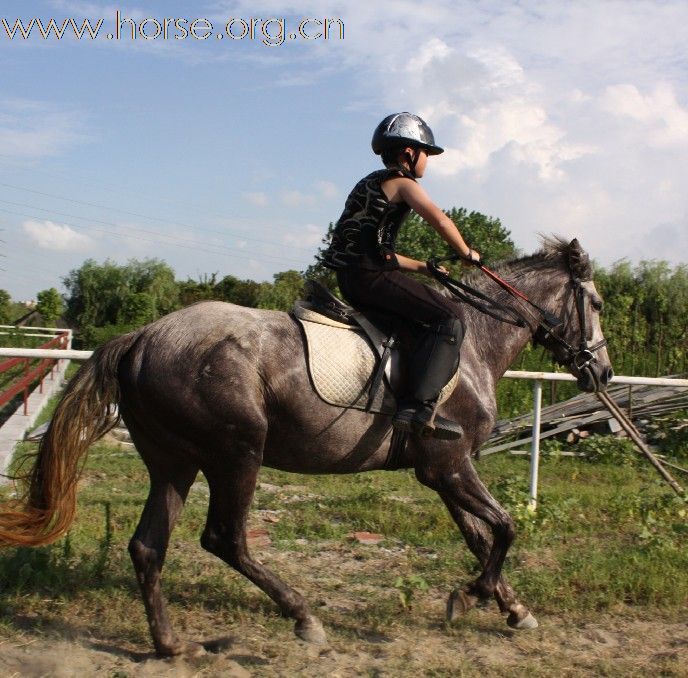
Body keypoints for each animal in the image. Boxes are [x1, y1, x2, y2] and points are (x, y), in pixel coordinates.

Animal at [0, 238, 612, 660]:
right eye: (598, 303)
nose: (601, 373)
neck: (477, 341)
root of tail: (141, 338)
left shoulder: (442, 471)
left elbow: (481, 537)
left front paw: (510, 607)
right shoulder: (450, 466)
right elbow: (504, 528)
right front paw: (470, 597)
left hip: (175, 463)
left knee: (149, 547)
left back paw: (173, 646)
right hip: (236, 454)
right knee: (224, 538)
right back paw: (303, 618)